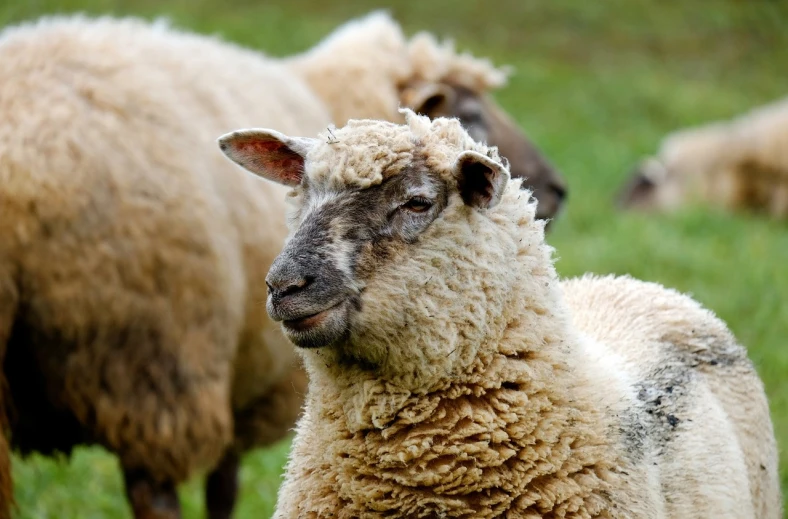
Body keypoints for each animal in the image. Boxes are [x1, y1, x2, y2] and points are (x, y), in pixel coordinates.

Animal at [0, 10, 568, 516]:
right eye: (471, 112)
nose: (558, 188)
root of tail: (19, 176)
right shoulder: (238, 376)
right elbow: (224, 487)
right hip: (147, 358)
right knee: (155, 493)